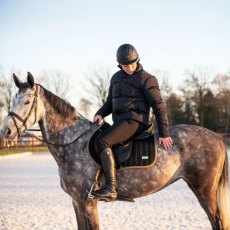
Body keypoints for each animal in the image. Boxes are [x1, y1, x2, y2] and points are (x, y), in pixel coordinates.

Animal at [1, 72, 230, 230]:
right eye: (12, 101)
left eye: (27, 102)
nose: (6, 131)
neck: (72, 141)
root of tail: (217, 137)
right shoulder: (76, 202)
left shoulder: (87, 202)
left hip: (204, 190)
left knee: (217, 222)